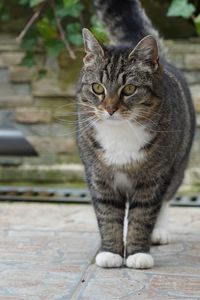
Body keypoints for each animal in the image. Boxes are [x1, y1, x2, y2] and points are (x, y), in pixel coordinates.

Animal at [75, 0, 195, 268]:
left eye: (129, 89)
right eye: (97, 88)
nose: (109, 109)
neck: (121, 132)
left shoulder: (154, 178)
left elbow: (143, 215)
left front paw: (138, 253)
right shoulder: (99, 176)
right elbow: (108, 214)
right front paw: (111, 252)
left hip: (178, 164)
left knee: (167, 198)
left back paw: (159, 231)